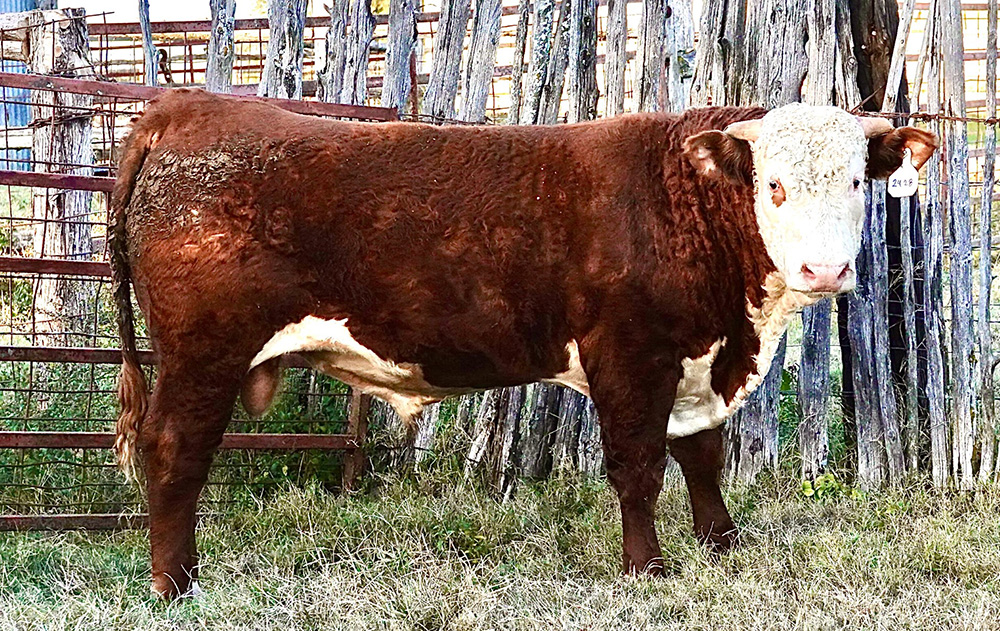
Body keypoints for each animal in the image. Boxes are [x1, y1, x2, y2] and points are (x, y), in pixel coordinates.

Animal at [109, 89, 936, 598]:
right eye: (773, 186)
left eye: (858, 181)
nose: (824, 270)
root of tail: (188, 107)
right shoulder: (629, 354)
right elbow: (638, 466)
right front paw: (647, 568)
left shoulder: (694, 362)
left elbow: (702, 454)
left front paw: (721, 543)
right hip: (202, 352)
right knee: (175, 450)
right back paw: (175, 582)